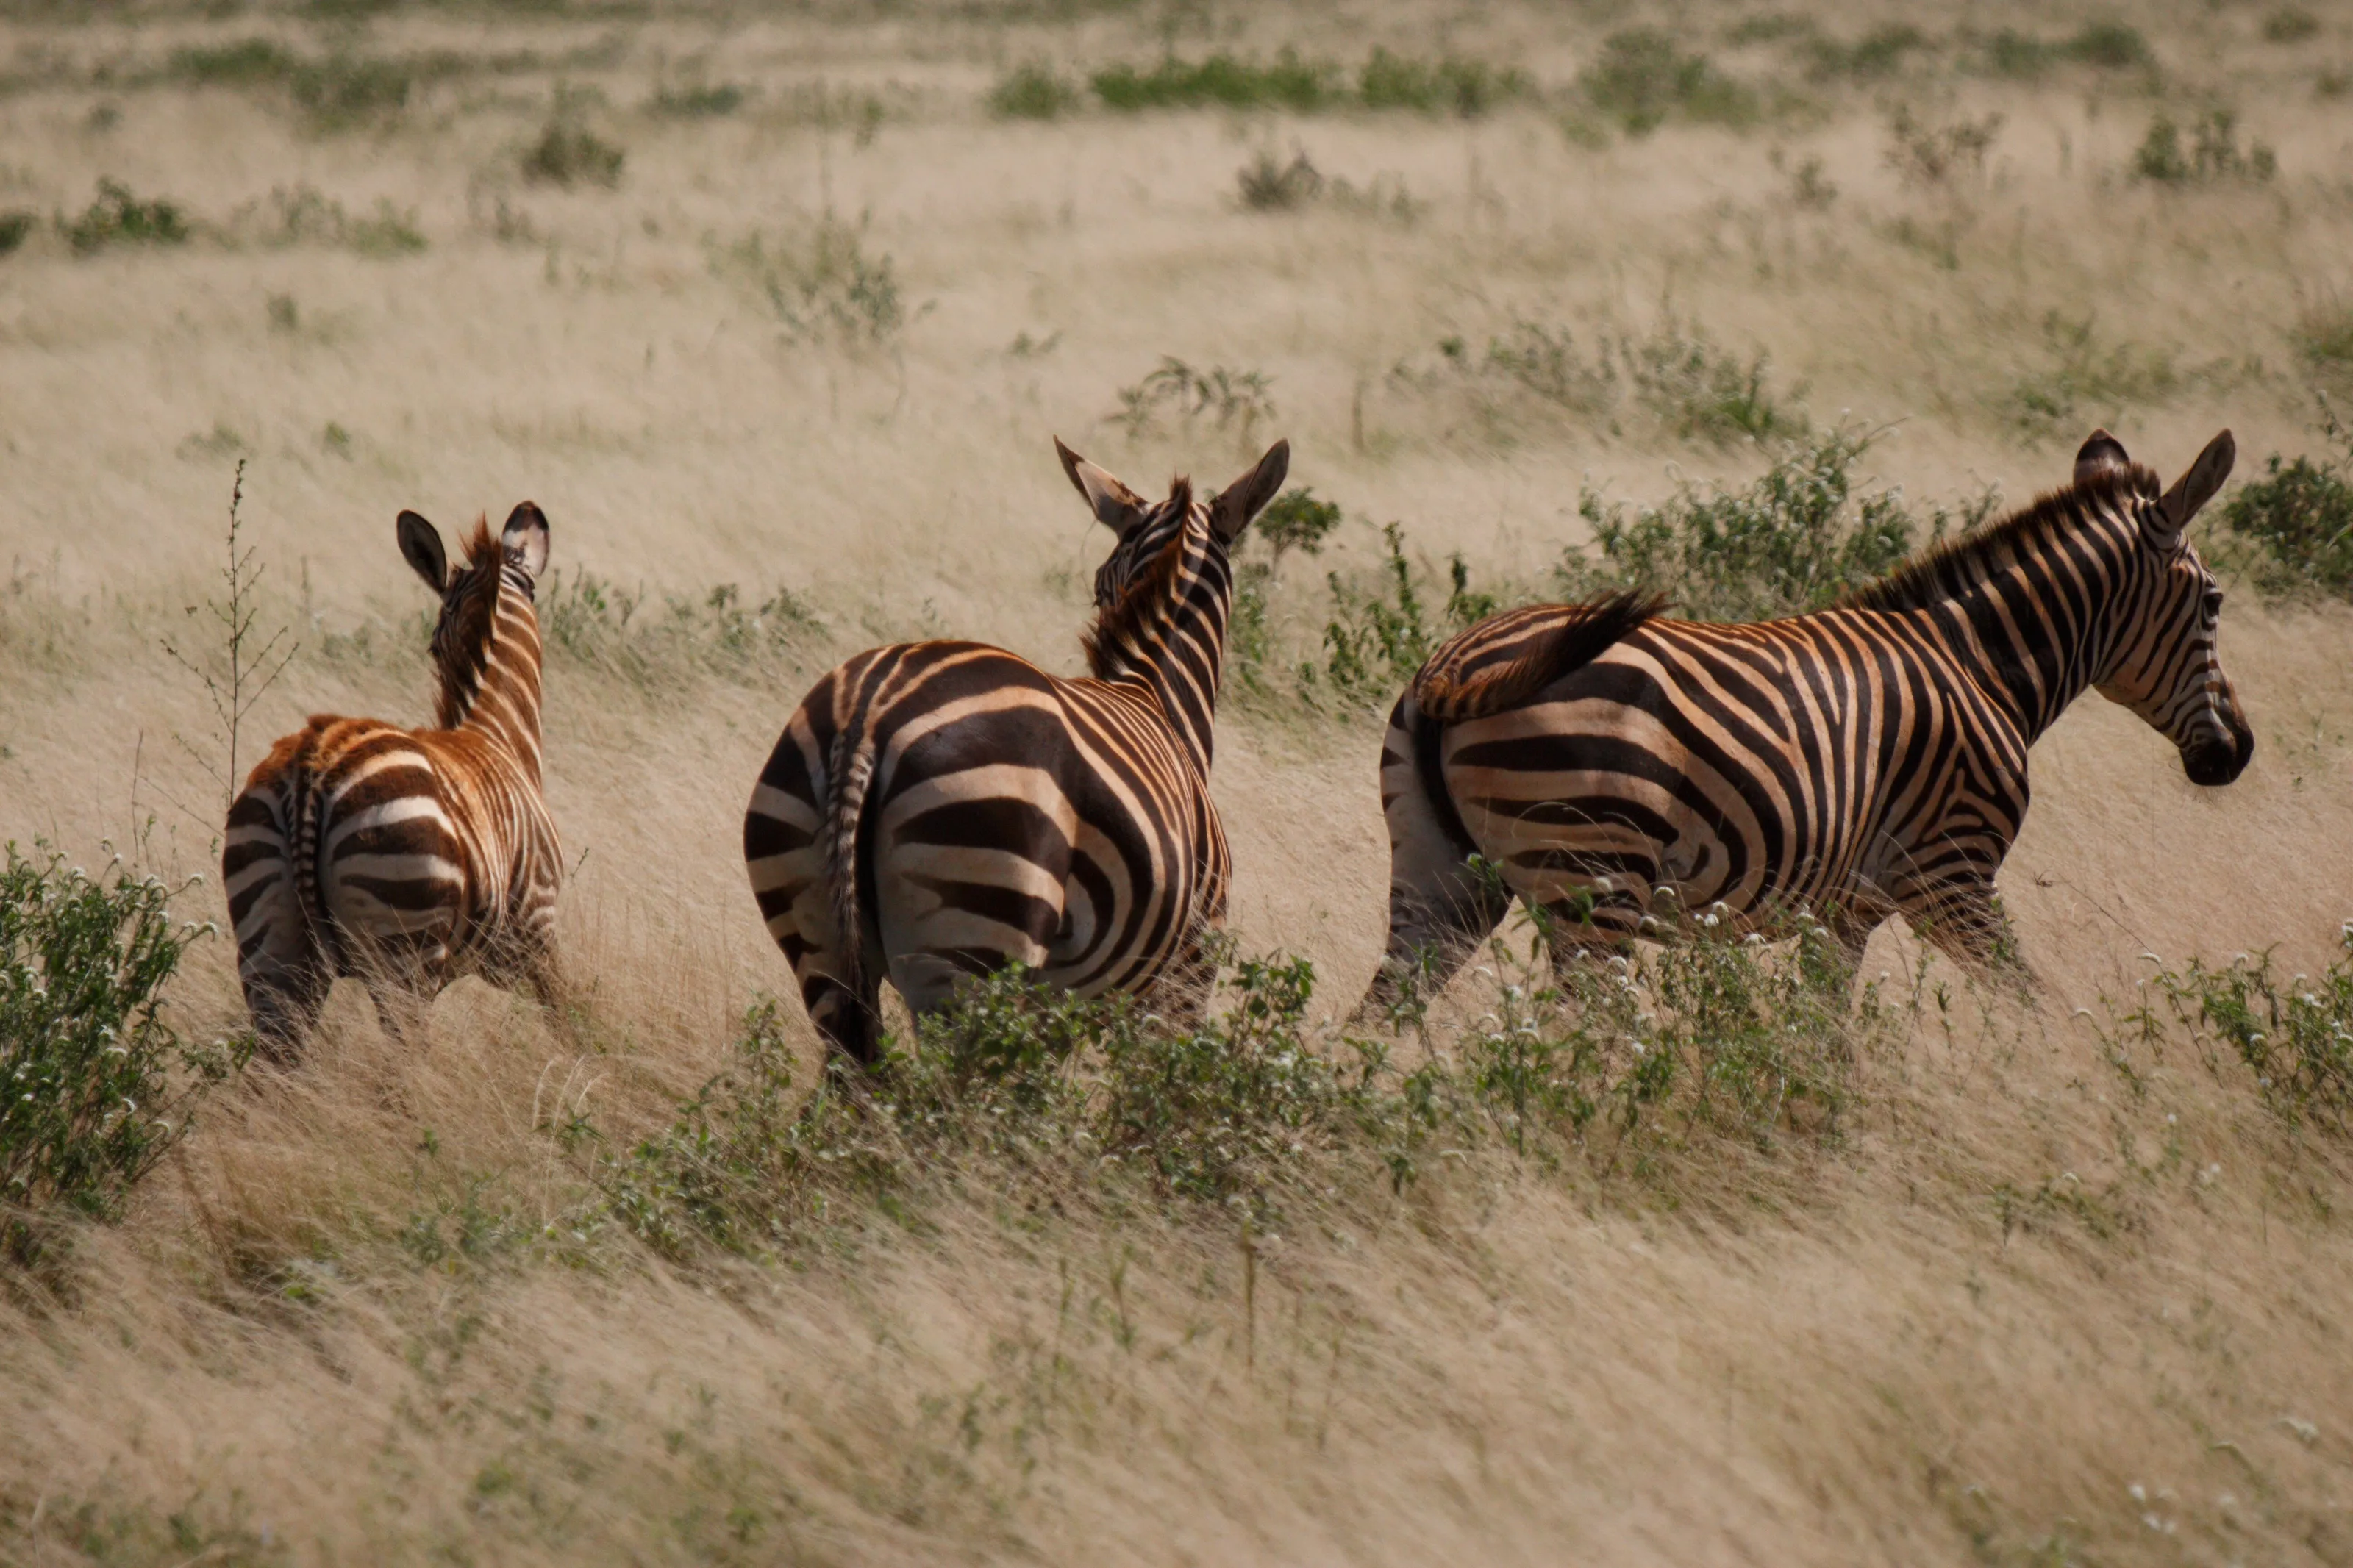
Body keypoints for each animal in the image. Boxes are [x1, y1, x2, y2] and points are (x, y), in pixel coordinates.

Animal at [223, 503, 565, 1058]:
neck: (498, 732)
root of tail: (313, 763)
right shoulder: (537, 930)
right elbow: (576, 1025)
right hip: (403, 946)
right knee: (402, 1069)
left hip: (271, 951)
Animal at [743, 437, 1290, 1065]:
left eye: (1101, 585)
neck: (1156, 692)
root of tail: (869, 713)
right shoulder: (1187, 969)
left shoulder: (1061, 1005)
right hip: (980, 945)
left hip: (819, 942)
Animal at [1355, 429, 2250, 1017]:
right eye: (2213, 603)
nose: (2236, 754)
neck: (1978, 664)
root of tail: (1451, 669)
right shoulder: (1949, 874)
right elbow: (2034, 1002)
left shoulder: (1845, 909)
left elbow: (1821, 1034)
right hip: (1592, 875)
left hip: (1443, 876)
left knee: (1378, 1017)